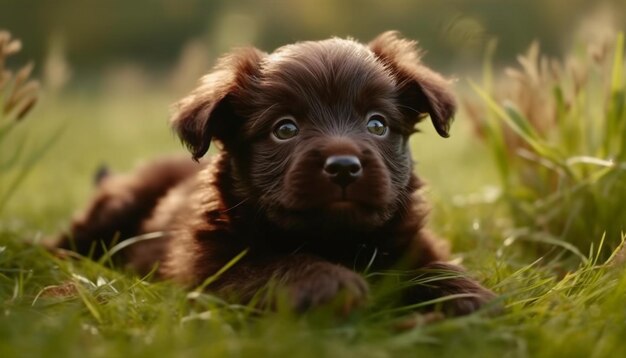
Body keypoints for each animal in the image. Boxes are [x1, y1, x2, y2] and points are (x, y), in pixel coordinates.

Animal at [59, 32, 498, 314]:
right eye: (284, 129)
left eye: (377, 124)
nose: (344, 167)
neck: (332, 240)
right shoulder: (207, 265)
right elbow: (270, 264)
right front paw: (325, 281)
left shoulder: (410, 241)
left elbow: (430, 265)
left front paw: (464, 292)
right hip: (116, 205)